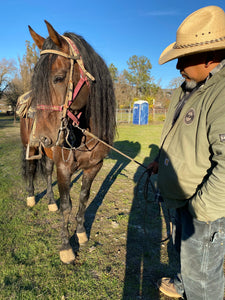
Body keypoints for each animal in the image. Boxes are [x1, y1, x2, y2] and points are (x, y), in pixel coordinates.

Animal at [22, 21, 116, 264]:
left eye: (58, 77)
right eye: (36, 78)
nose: (43, 135)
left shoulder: (94, 167)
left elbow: (83, 198)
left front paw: (81, 233)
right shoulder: (64, 168)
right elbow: (67, 206)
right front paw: (66, 248)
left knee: (46, 173)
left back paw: (50, 202)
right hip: (30, 146)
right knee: (30, 170)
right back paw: (31, 198)